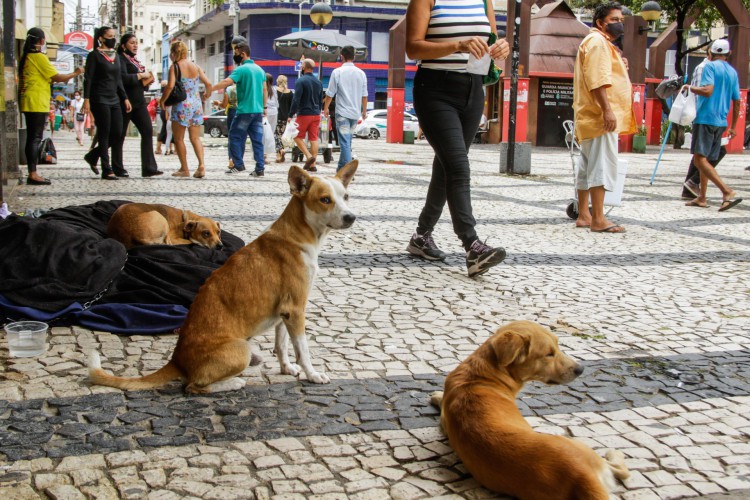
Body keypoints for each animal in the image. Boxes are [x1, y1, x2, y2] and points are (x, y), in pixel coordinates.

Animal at [89, 162, 360, 392]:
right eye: (325, 200)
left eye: (346, 197)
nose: (351, 217)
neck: (298, 235)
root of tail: (177, 360)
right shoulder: (295, 309)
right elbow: (303, 349)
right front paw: (312, 374)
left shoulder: (285, 313)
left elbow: (282, 345)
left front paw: (287, 368)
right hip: (242, 349)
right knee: (193, 386)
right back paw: (233, 383)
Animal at [432, 320, 632, 500]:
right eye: (549, 354)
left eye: (558, 345)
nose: (580, 369)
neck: (479, 377)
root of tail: (582, 477)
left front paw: (436, 395)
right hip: (579, 445)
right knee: (622, 470)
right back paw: (614, 453)